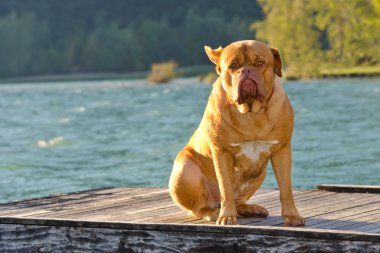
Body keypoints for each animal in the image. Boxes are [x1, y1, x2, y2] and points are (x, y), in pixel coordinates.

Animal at [168, 40, 304, 227]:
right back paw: (212, 212)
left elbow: (286, 188)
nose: (246, 70)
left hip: (260, 173)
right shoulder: (222, 152)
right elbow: (226, 189)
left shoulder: (282, 150)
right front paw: (226, 217)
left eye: (260, 63)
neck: (251, 113)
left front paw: (292, 216)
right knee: (199, 206)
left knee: (239, 201)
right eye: (233, 65)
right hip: (184, 170)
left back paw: (250, 208)